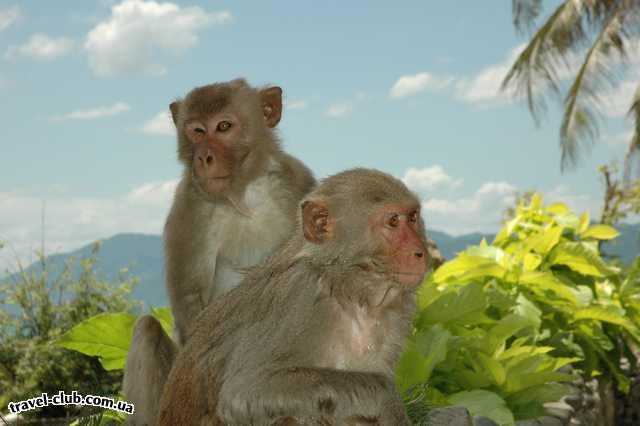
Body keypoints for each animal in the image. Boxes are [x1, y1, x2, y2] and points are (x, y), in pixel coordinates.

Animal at [122, 78, 316, 424]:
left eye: (223, 127)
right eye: (197, 131)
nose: (204, 157)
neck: (244, 194)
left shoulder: (298, 182)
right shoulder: (189, 209)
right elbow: (191, 310)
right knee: (147, 330)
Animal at [156, 168, 430, 426]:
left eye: (413, 217)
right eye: (393, 221)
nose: (420, 251)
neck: (349, 290)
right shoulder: (300, 296)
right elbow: (243, 390)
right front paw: (389, 401)